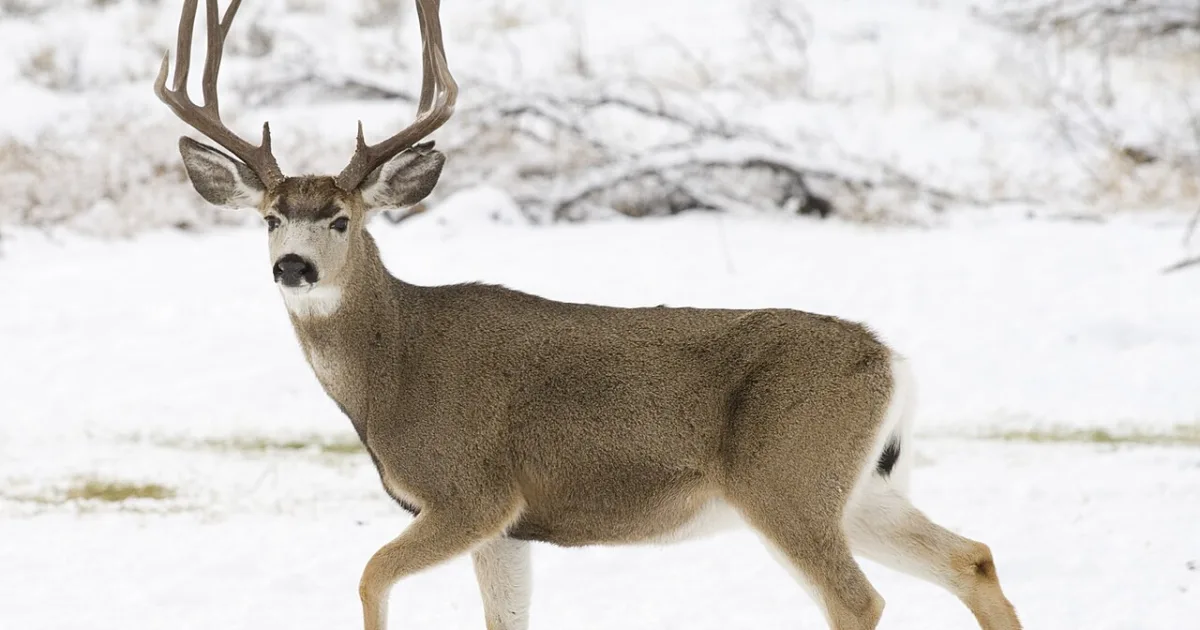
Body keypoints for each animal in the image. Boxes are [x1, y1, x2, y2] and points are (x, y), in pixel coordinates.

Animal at [154, 1, 1022, 629]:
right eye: (270, 217)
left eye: (341, 219)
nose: (292, 268)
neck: (392, 370)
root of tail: (891, 361)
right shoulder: (509, 528)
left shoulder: (470, 491)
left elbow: (369, 578)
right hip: (864, 487)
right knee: (973, 558)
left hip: (789, 481)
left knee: (859, 599)